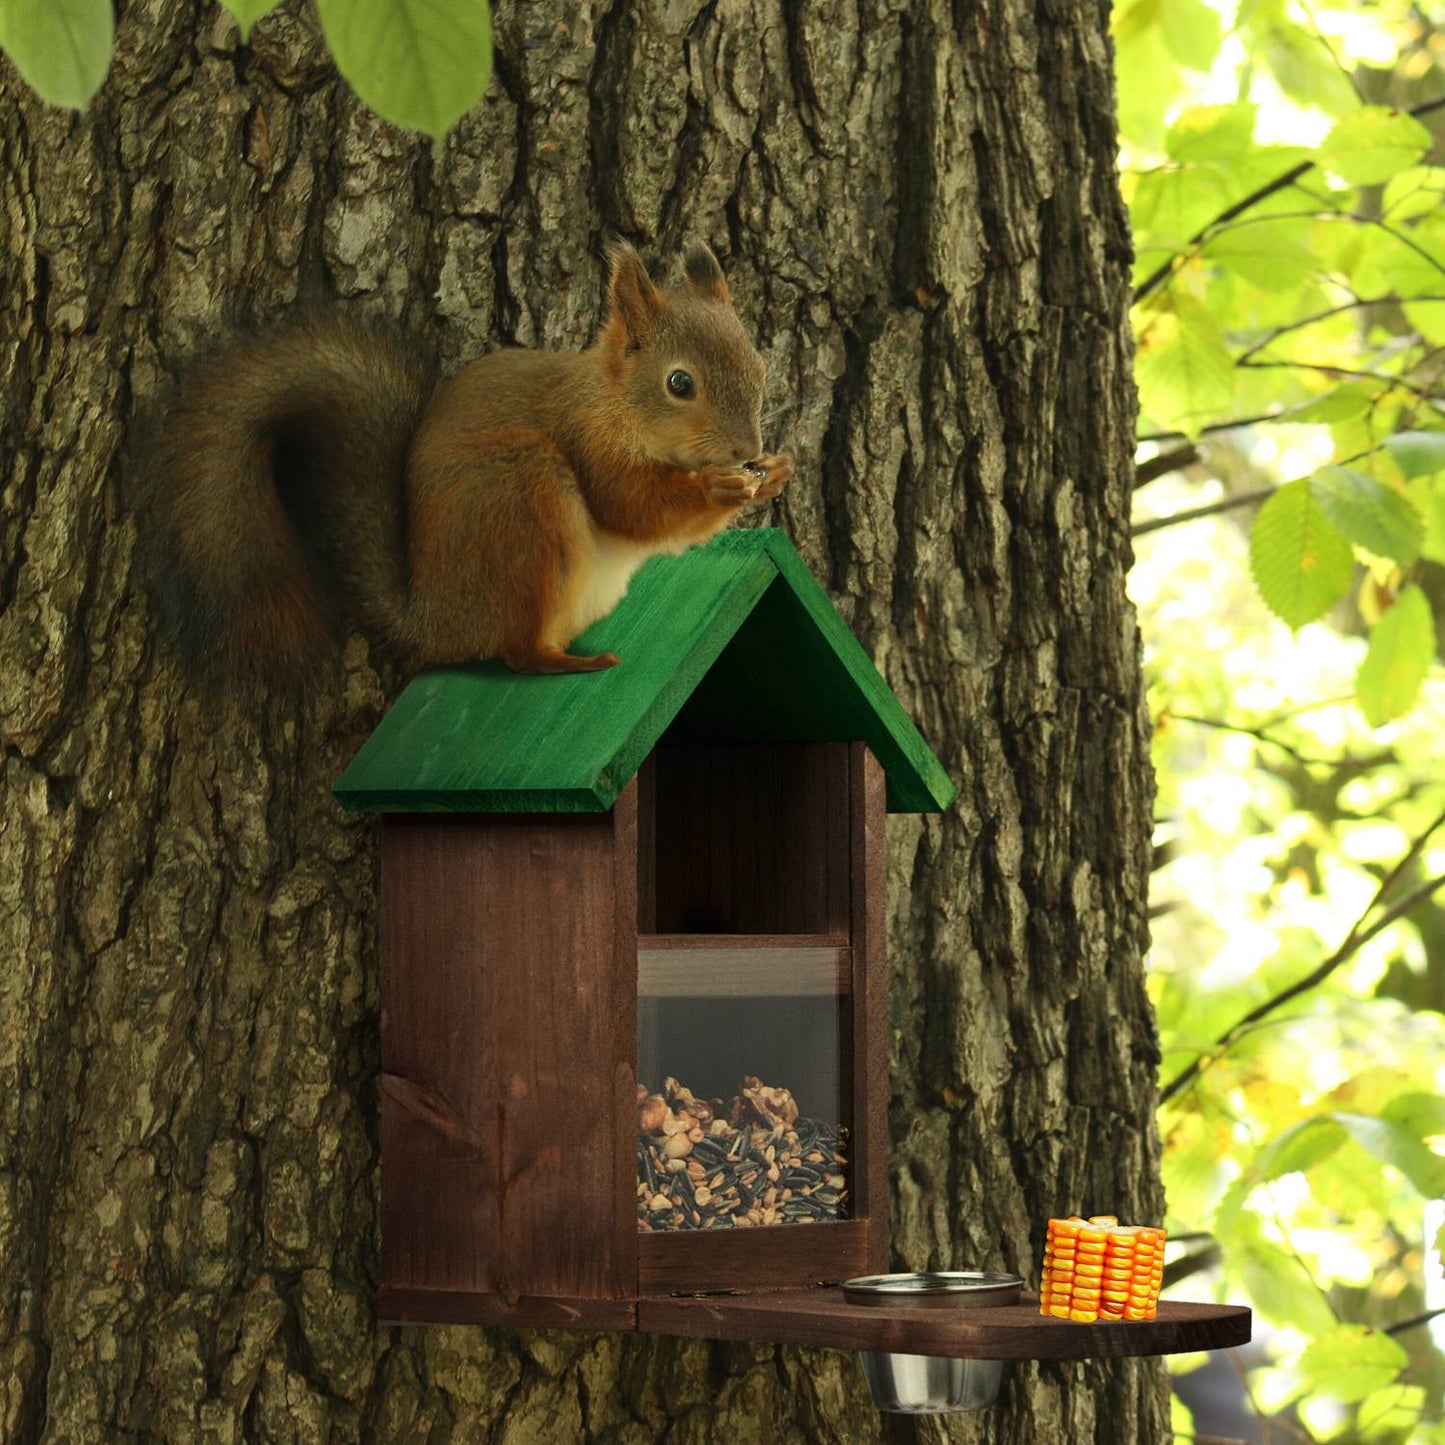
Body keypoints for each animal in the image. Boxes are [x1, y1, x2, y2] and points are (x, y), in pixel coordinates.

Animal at [143, 241, 793, 682]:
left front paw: (775, 472)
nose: (747, 451)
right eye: (680, 383)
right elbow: (633, 508)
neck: (610, 401)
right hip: (520, 501)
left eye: (760, 365)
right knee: (519, 654)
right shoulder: (588, 442)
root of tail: (433, 618)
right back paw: (570, 664)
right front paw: (719, 490)